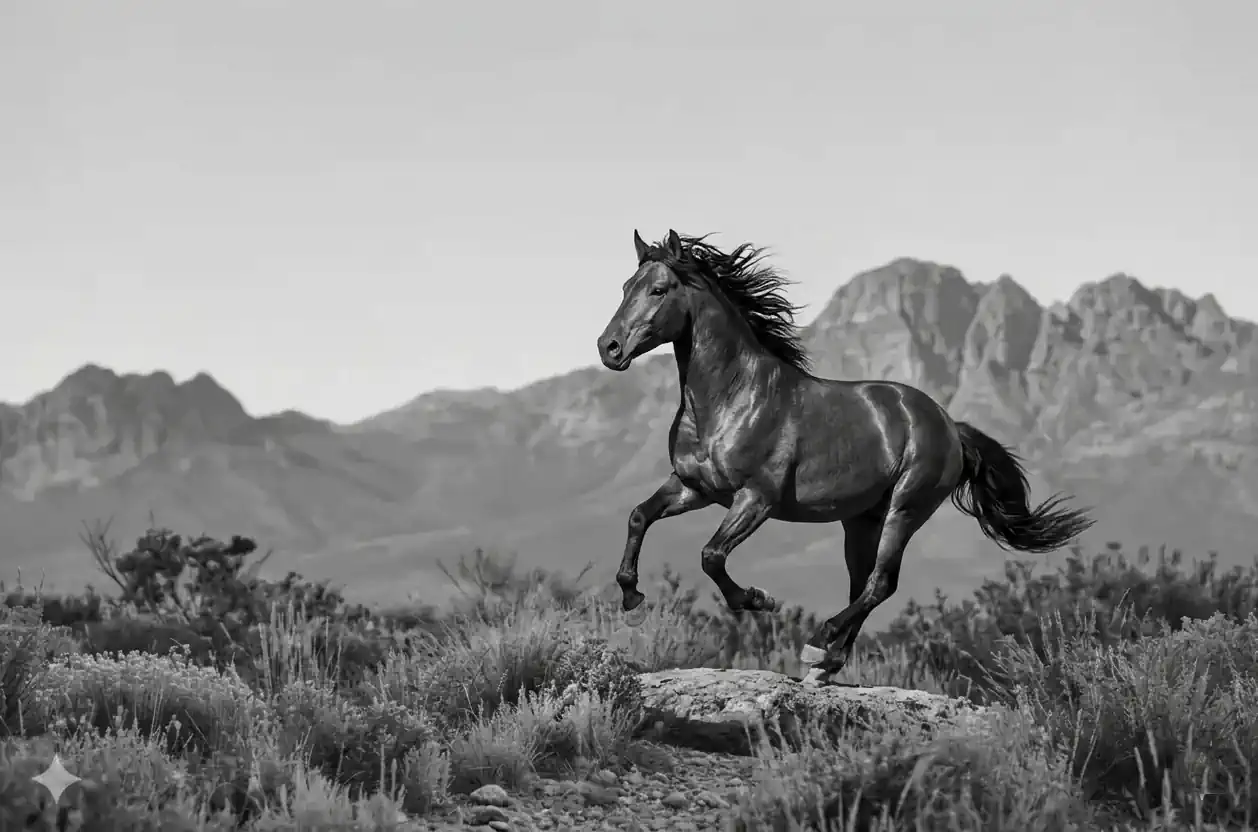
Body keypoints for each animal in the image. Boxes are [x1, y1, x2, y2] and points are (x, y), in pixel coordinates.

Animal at [595, 229, 1095, 684]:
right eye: (625, 286)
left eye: (659, 290)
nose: (608, 348)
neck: (730, 398)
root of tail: (951, 426)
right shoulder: (693, 488)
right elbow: (639, 516)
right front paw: (633, 602)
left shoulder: (756, 498)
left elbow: (711, 555)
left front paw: (757, 599)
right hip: (860, 519)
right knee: (864, 582)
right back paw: (827, 663)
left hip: (905, 508)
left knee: (880, 583)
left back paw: (818, 643)